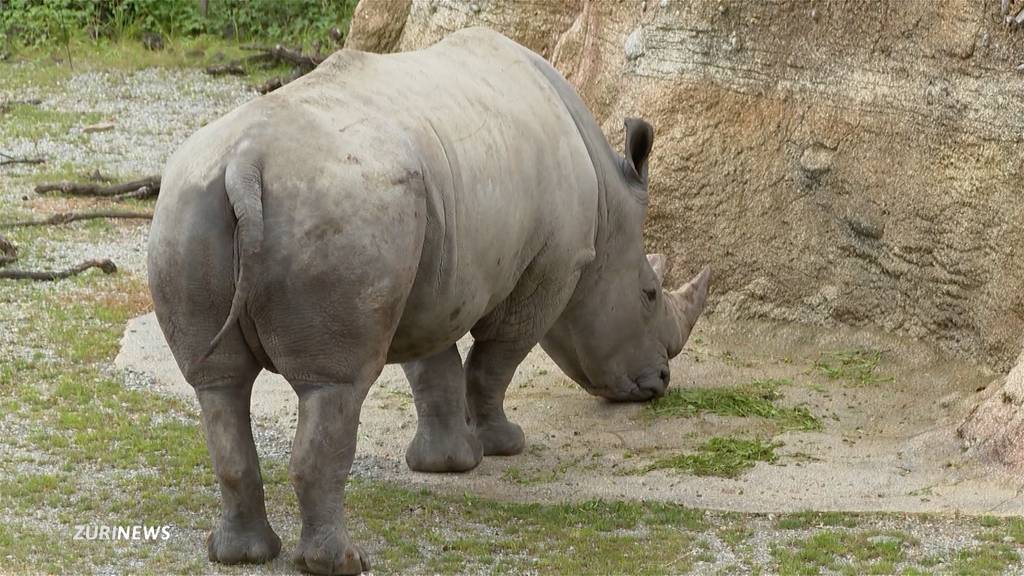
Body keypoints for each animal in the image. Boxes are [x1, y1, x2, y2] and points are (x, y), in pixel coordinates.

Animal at [148, 26, 708, 573]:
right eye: (649, 294)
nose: (660, 382)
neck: (607, 213)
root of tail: (246, 163)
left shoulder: (432, 272)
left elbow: (432, 368)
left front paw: (447, 464)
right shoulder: (554, 266)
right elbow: (494, 362)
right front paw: (504, 446)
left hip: (190, 207)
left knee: (218, 386)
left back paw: (240, 555)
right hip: (342, 210)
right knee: (334, 386)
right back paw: (342, 562)